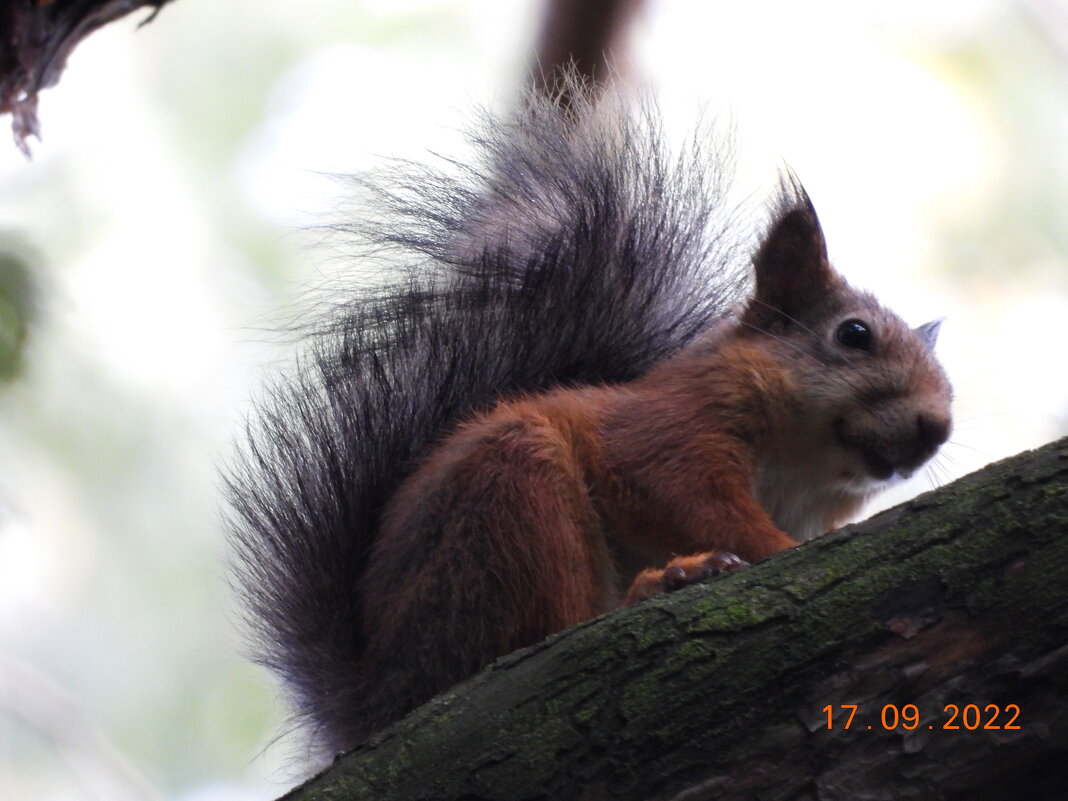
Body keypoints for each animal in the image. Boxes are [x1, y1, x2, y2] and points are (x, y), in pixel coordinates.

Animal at [225, 84, 952, 760]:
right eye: (854, 335)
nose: (936, 428)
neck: (800, 473)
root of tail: (381, 697)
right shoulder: (666, 434)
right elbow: (692, 497)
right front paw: (771, 548)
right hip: (512, 501)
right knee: (538, 638)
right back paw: (660, 583)